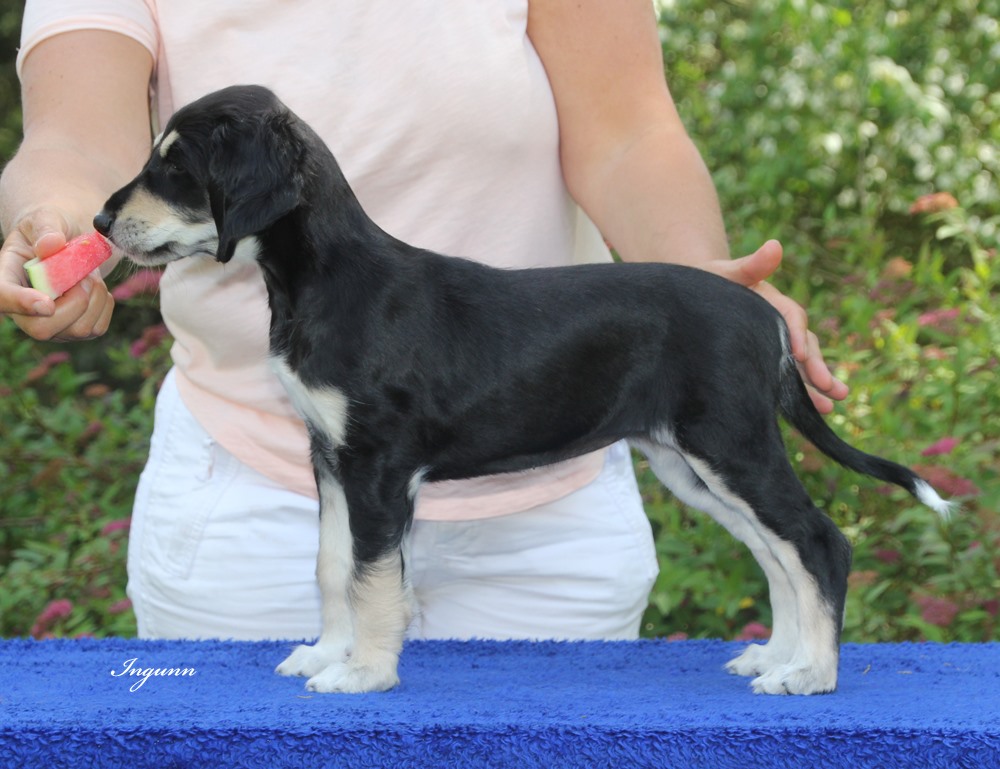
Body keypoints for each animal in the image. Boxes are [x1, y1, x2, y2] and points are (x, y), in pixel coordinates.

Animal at [92, 85, 944, 696]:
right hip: (692, 465)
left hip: (732, 445)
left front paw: (363, 672)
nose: (101, 221)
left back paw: (812, 674)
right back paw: (775, 658)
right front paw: (324, 653)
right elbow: (333, 565)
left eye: (176, 166)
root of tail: (767, 316)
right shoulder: (329, 456)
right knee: (778, 553)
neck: (332, 282)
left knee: (818, 541)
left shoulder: (376, 466)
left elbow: (372, 578)